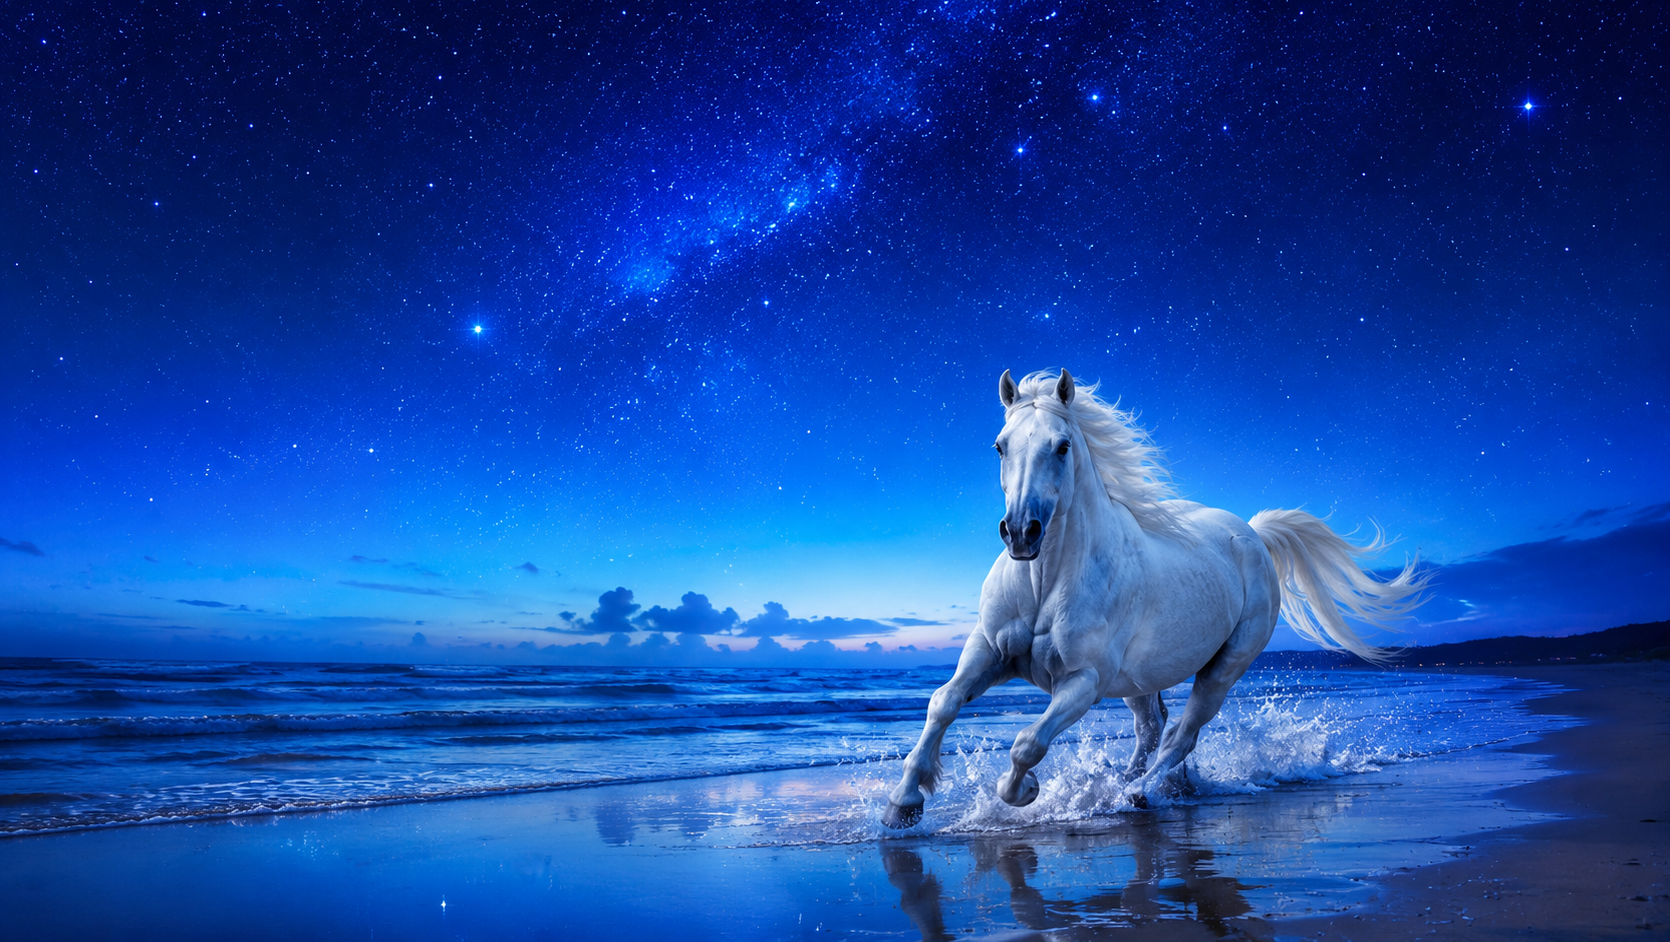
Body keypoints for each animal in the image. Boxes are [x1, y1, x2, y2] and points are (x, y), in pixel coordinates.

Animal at [882, 368, 1426, 829]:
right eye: (999, 446)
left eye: (1062, 447)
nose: (1020, 533)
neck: (1043, 585)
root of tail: (1252, 533)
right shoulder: (988, 650)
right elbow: (943, 703)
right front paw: (902, 804)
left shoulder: (1083, 682)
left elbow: (1026, 744)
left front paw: (1024, 791)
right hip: (1138, 681)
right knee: (1152, 727)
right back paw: (1126, 784)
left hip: (1223, 668)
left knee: (1180, 733)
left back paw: (1140, 792)